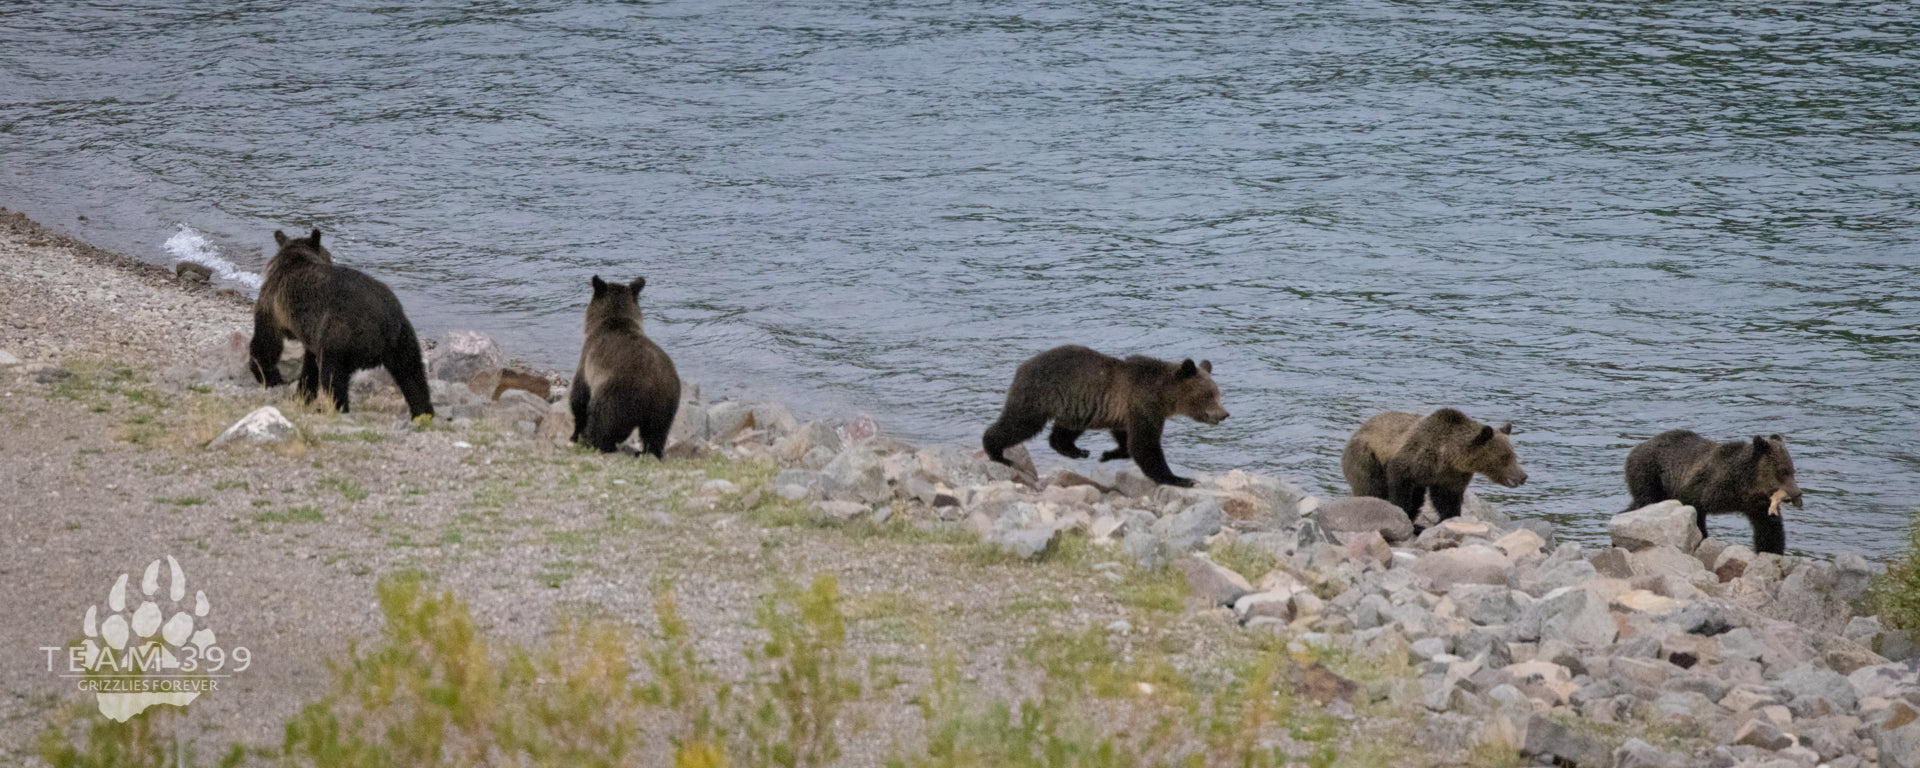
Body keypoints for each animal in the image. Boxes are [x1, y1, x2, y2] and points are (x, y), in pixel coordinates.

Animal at [247, 229, 433, 419]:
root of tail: (382, 325)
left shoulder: (274, 305)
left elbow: (266, 342)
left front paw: (268, 376)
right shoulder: (313, 331)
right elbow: (310, 365)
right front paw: (300, 393)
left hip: (341, 334)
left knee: (333, 376)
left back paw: (333, 408)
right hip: (402, 338)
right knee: (412, 376)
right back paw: (423, 413)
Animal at [568, 275, 680, 458]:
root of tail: (652, 385)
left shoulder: (587, 360)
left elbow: (579, 399)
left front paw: (575, 435)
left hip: (617, 393)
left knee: (602, 419)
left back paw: (592, 442)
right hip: (665, 404)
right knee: (656, 433)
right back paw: (649, 451)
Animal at [981, 345, 1229, 488]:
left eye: (1218, 393)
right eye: (1209, 395)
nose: (1225, 414)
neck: (1164, 395)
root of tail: (1022, 366)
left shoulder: (1125, 411)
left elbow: (1127, 441)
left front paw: (1107, 454)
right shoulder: (1144, 405)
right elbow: (1145, 445)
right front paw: (1180, 478)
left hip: (1076, 405)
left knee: (1063, 431)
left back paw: (1077, 450)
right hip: (1041, 394)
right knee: (1019, 423)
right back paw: (997, 452)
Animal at [1341, 408, 1528, 526]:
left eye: (1514, 454)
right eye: (1505, 457)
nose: (1523, 476)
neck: (1448, 456)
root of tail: (1358, 429)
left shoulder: (1450, 476)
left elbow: (1447, 499)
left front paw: (1448, 518)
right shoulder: (1414, 459)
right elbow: (1400, 486)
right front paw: (1399, 511)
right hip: (1367, 458)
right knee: (1371, 488)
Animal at [1623, 430, 1802, 555]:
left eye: (1793, 471)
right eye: (1783, 471)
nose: (1797, 493)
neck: (1745, 487)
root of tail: (1634, 449)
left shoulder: (1756, 505)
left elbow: (1769, 529)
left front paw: (1771, 550)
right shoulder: (1704, 487)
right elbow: (1694, 512)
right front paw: (1700, 537)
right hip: (1650, 473)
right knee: (1647, 500)